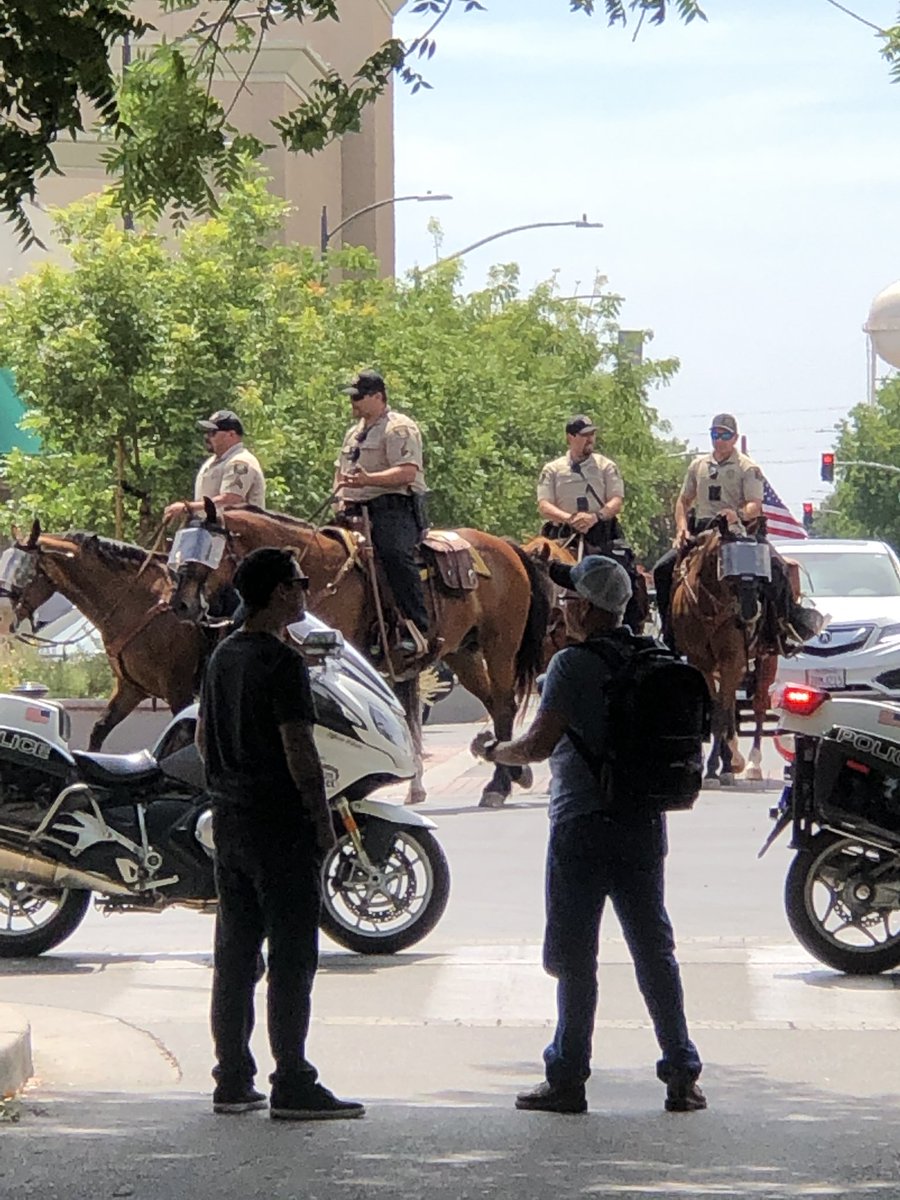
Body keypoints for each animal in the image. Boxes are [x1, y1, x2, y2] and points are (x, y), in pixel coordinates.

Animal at [0, 518, 202, 744]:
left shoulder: (179, 691)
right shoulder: (130, 688)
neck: (142, 602)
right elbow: (100, 729)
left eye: (25, 572)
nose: (3, 617)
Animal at [168, 501, 549, 801]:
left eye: (208, 547)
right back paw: (514, 772)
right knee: (492, 703)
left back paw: (499, 786)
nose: (181, 604)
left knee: (504, 704)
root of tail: (504, 546)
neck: (316, 572)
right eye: (181, 545)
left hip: (500, 645)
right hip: (464, 653)